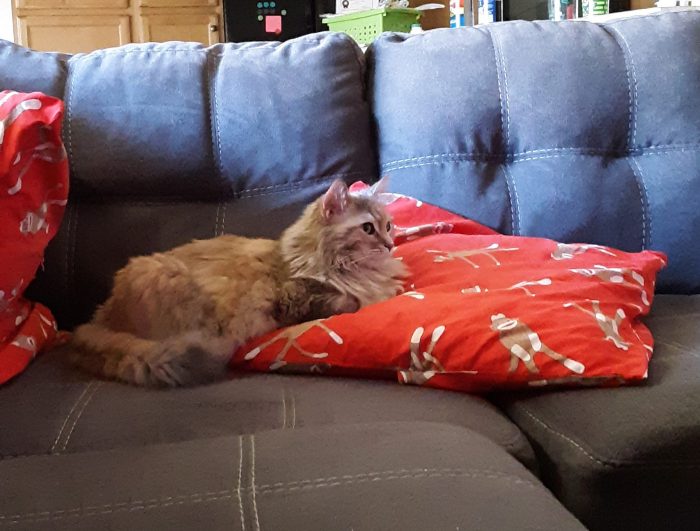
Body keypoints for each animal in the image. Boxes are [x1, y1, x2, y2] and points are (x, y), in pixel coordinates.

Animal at [68, 179, 408, 386]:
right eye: (368, 228)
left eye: (389, 225)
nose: (390, 244)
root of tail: (97, 320)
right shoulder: (293, 301)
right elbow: (348, 300)